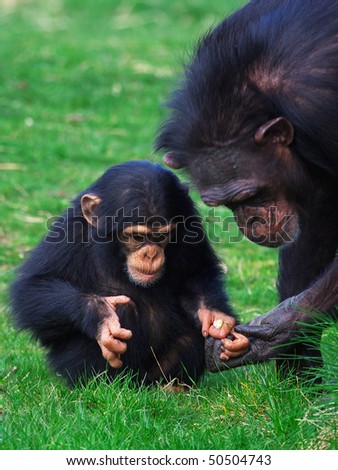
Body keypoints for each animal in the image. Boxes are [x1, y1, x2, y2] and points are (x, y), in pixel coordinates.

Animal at [10, 161, 248, 386]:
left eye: (161, 236)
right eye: (137, 237)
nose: (150, 254)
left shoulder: (189, 225)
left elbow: (197, 272)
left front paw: (214, 316)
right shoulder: (69, 233)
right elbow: (31, 289)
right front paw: (101, 314)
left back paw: (173, 386)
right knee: (123, 310)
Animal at [156, 0, 338, 376]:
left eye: (251, 195)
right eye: (223, 204)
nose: (251, 220)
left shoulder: (322, 111)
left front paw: (274, 331)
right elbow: (318, 214)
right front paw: (296, 360)